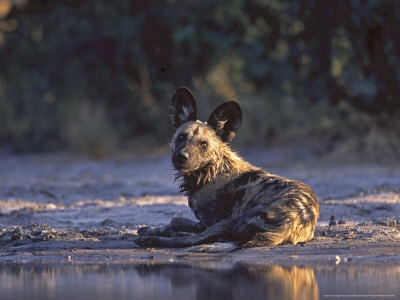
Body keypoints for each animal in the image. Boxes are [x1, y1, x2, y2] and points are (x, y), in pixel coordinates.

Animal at [136, 86, 320, 248]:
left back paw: (154, 240)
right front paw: (151, 229)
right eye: (181, 137)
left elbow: (176, 221)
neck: (210, 173)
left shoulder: (212, 221)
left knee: (192, 240)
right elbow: (175, 222)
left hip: (231, 222)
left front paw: (157, 233)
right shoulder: (205, 223)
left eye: (203, 144)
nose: (181, 157)